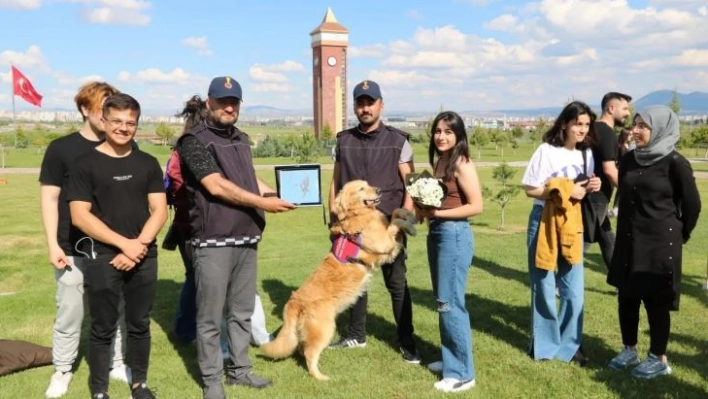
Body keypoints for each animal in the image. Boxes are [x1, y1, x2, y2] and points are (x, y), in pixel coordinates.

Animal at [258, 180, 414, 380]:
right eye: (361, 188)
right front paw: (407, 224)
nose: (379, 190)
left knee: (303, 349)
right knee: (310, 354)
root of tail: (294, 302)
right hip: (325, 328)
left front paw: (405, 213)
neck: (357, 215)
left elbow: (394, 213)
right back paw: (321, 377)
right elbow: (394, 222)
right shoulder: (384, 244)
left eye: (368, 184)